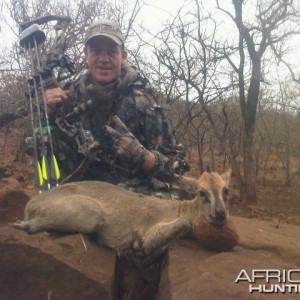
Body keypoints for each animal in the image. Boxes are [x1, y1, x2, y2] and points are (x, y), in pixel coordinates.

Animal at [12, 170, 231, 264]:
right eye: (202, 192)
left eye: (226, 190)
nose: (221, 214)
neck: (177, 209)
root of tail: (31, 205)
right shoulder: (151, 232)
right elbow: (182, 225)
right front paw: (133, 246)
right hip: (92, 216)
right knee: (28, 225)